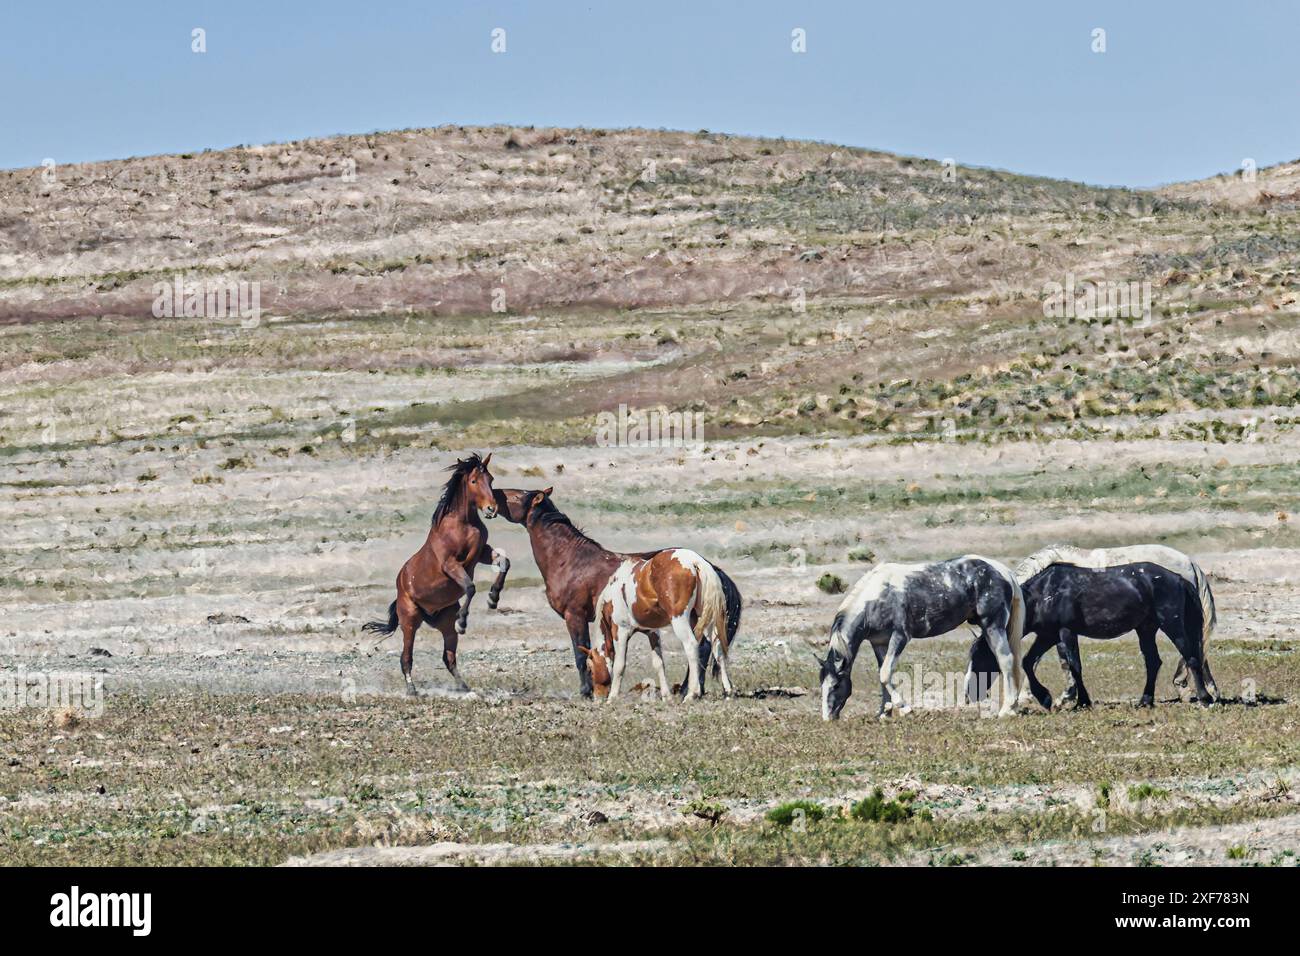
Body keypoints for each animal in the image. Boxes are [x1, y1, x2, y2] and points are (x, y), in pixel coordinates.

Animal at [366, 455, 512, 697]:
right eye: (474, 481)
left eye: (490, 479)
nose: (492, 509)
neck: (463, 524)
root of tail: (400, 585)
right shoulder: (451, 564)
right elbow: (470, 586)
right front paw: (463, 621)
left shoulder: (482, 553)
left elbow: (504, 563)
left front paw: (494, 598)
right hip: (410, 622)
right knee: (406, 658)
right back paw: (412, 689)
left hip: (445, 626)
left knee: (448, 658)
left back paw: (463, 687)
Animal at [595, 548, 733, 697]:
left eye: (590, 667)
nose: (597, 696)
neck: (612, 591)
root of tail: (694, 560)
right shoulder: (652, 632)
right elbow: (659, 664)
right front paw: (666, 696)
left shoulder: (620, 631)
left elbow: (619, 666)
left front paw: (612, 697)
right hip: (707, 621)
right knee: (717, 648)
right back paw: (727, 690)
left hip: (680, 620)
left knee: (691, 646)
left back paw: (692, 693)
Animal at [816, 556, 1029, 723]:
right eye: (822, 684)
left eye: (836, 685)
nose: (827, 718)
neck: (876, 598)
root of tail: (1003, 571)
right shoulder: (880, 643)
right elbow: (883, 675)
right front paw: (884, 713)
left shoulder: (900, 637)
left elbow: (885, 674)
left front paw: (905, 709)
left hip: (993, 626)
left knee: (1006, 661)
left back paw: (1007, 710)